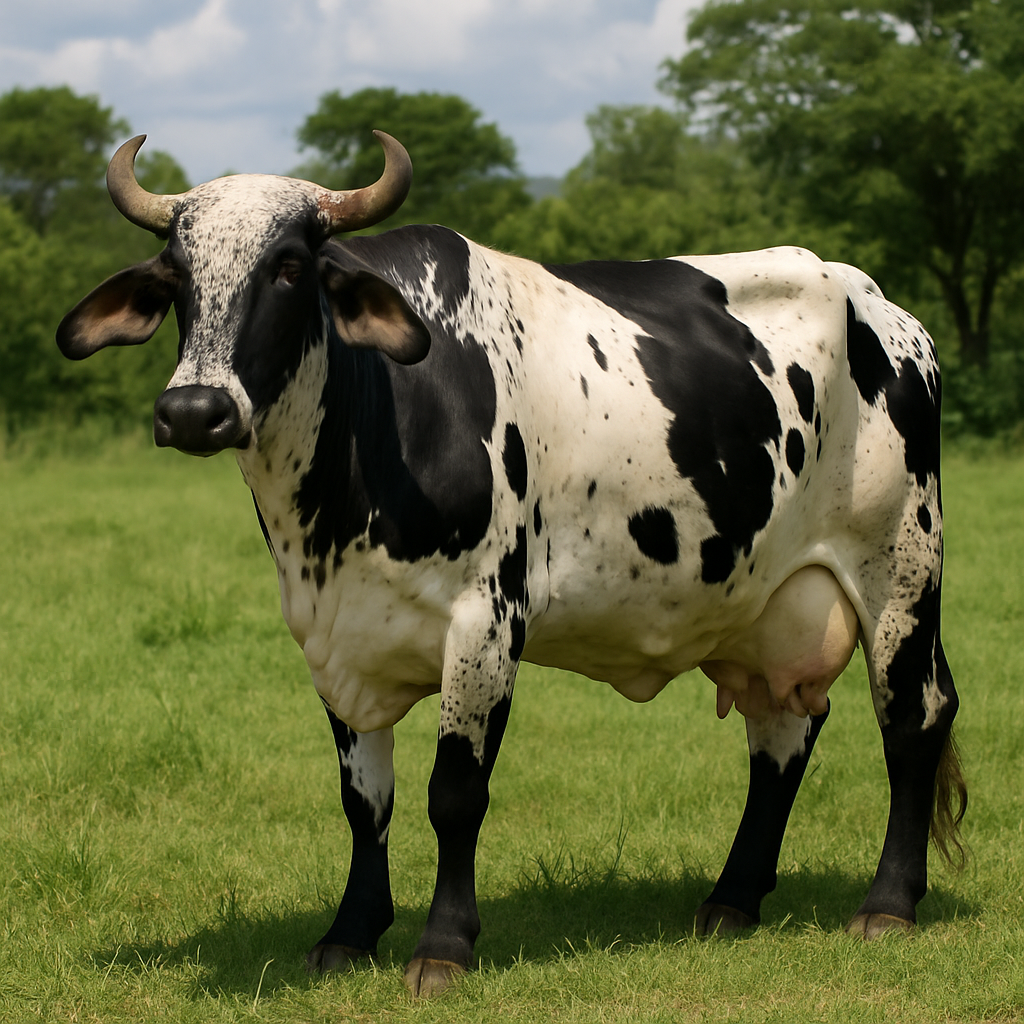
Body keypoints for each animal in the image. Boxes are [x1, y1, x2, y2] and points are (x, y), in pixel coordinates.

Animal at [57, 132, 965, 998]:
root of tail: (878, 304)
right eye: (176, 278)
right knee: (781, 736)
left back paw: (888, 903)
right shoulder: (335, 639)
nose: (193, 410)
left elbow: (453, 796)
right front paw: (349, 934)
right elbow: (364, 802)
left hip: (902, 569)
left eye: (287, 268)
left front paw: (443, 947)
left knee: (915, 718)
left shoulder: (485, 623)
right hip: (770, 600)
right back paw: (733, 900)